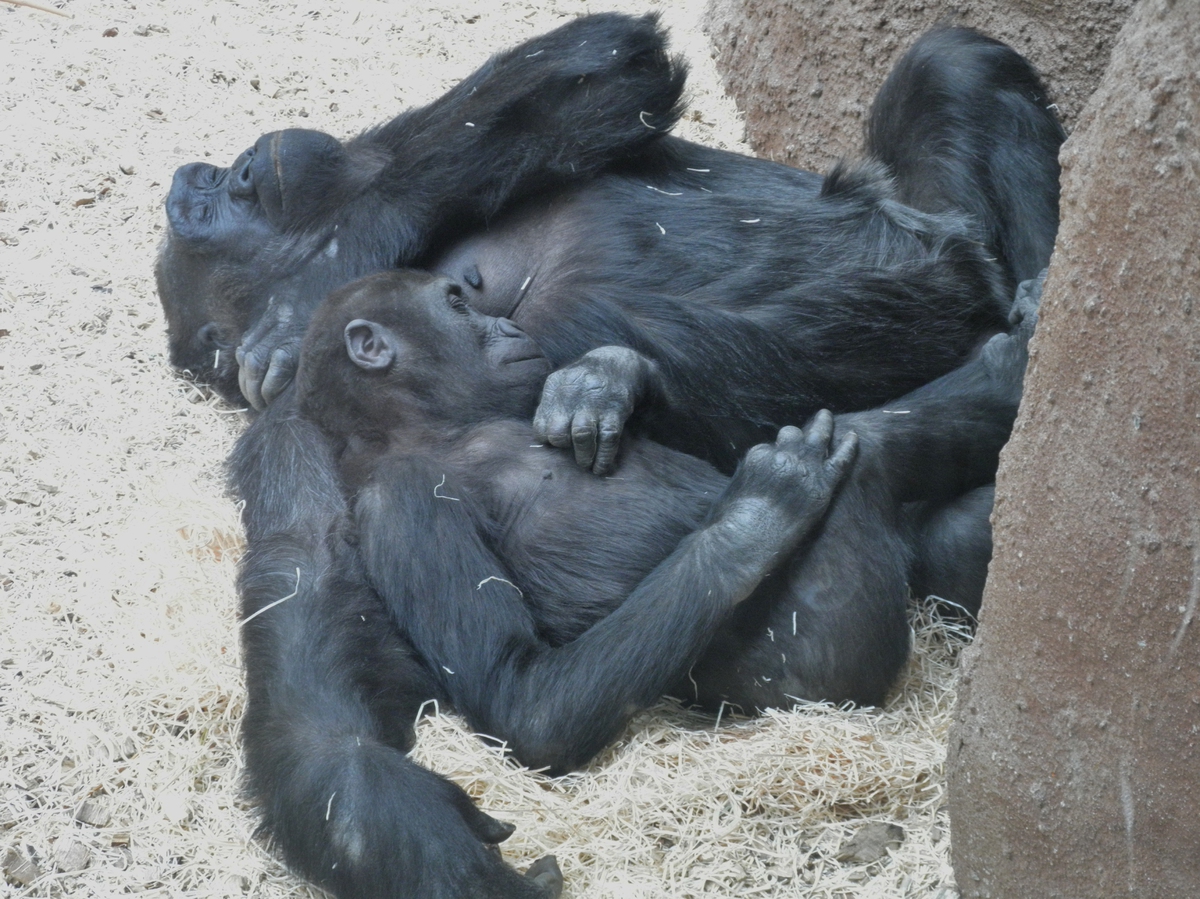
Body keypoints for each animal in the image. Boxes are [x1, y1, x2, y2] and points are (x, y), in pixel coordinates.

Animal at [291, 268, 859, 772]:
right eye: (457, 305)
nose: (509, 324)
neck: (429, 428)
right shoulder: (402, 498)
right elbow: (526, 705)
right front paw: (758, 514)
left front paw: (605, 377)